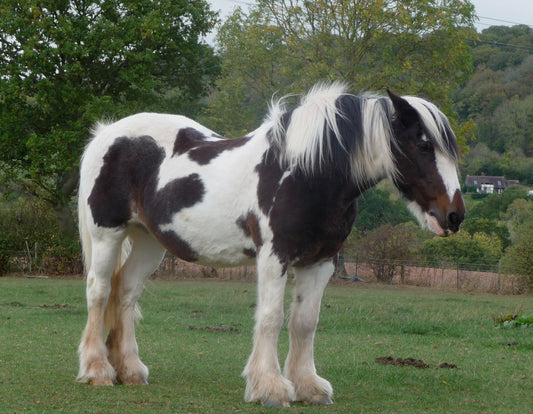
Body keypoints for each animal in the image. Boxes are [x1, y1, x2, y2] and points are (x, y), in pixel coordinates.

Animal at [77, 82, 464, 406]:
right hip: (107, 234)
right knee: (98, 291)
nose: (454, 216)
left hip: (148, 242)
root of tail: (106, 134)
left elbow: (305, 321)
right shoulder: (274, 256)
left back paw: (129, 370)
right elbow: (271, 317)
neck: (307, 173)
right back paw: (97, 370)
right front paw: (269, 387)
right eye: (423, 144)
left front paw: (308, 387)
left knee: (126, 293)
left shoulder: (320, 261)